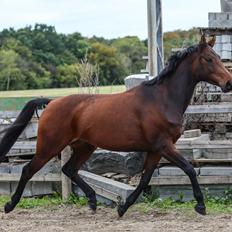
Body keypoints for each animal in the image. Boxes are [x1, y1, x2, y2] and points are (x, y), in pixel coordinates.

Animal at [0, 35, 232, 217]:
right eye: (208, 59)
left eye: (219, 58)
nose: (229, 83)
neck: (161, 99)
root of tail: (51, 103)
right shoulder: (164, 146)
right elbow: (189, 169)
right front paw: (200, 206)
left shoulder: (155, 150)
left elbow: (144, 179)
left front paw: (122, 208)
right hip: (50, 146)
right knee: (28, 169)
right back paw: (10, 205)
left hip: (84, 146)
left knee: (69, 169)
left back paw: (93, 200)